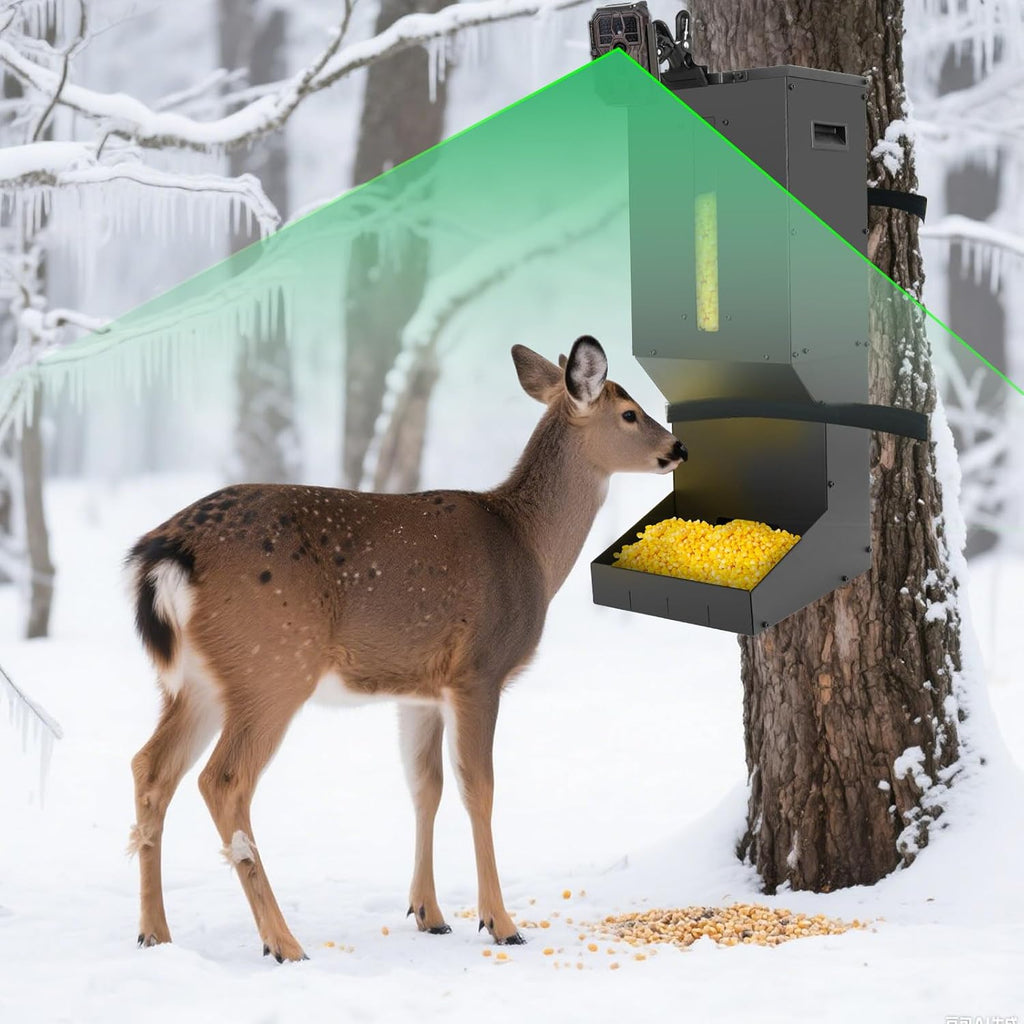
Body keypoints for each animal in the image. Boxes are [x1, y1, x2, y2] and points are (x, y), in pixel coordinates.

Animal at [126, 335, 687, 962]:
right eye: (629, 413)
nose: (678, 448)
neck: (529, 547)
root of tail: (166, 555)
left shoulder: (420, 690)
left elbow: (426, 787)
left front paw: (430, 913)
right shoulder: (478, 671)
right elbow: (478, 789)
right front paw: (501, 922)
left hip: (193, 681)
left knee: (149, 768)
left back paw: (155, 933)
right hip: (271, 667)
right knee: (222, 781)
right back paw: (283, 943)